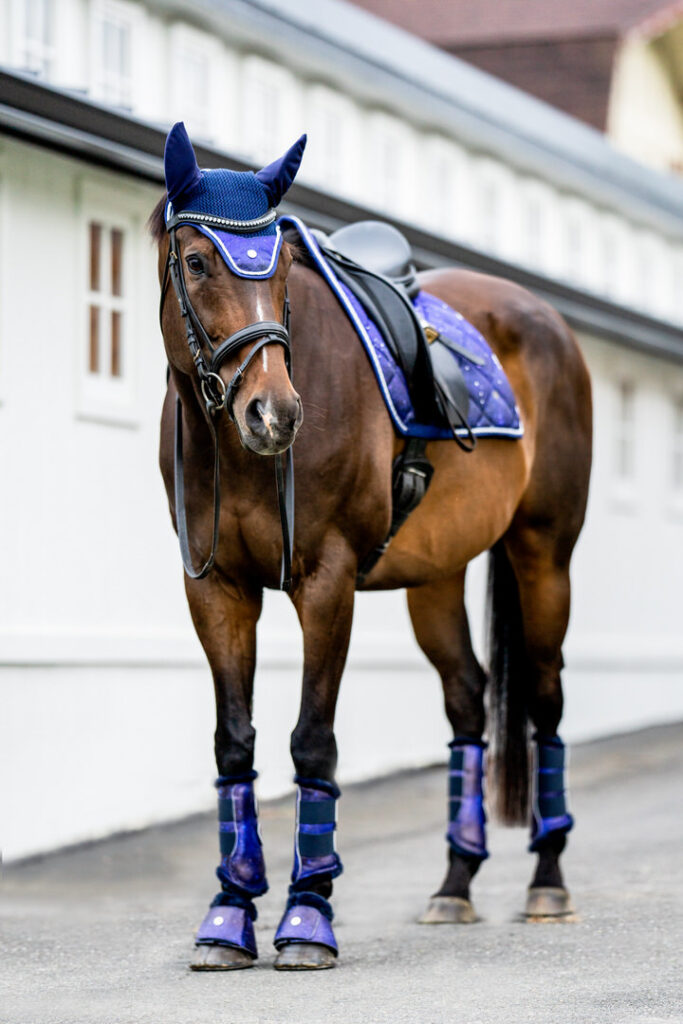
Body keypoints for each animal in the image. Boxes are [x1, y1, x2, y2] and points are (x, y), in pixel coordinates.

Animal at [150, 123, 593, 970]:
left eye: (279, 266)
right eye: (195, 261)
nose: (273, 414)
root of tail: (542, 317)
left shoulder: (326, 582)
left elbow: (312, 744)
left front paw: (307, 917)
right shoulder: (213, 588)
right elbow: (233, 745)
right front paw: (228, 914)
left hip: (543, 554)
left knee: (545, 698)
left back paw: (548, 881)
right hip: (437, 576)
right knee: (467, 700)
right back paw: (454, 884)